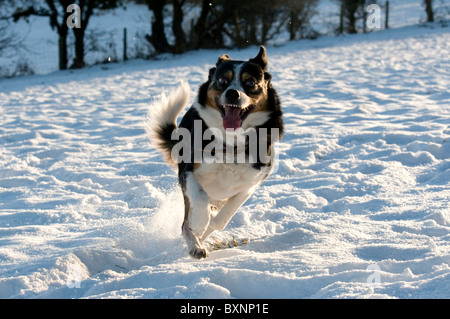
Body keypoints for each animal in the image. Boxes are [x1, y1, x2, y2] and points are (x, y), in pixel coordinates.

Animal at [146, 45, 284, 260]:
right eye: (222, 81)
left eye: (250, 82)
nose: (233, 93)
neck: (231, 144)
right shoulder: (188, 171)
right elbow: (199, 200)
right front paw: (199, 224)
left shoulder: (252, 183)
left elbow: (223, 218)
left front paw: (209, 225)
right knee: (186, 222)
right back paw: (194, 243)